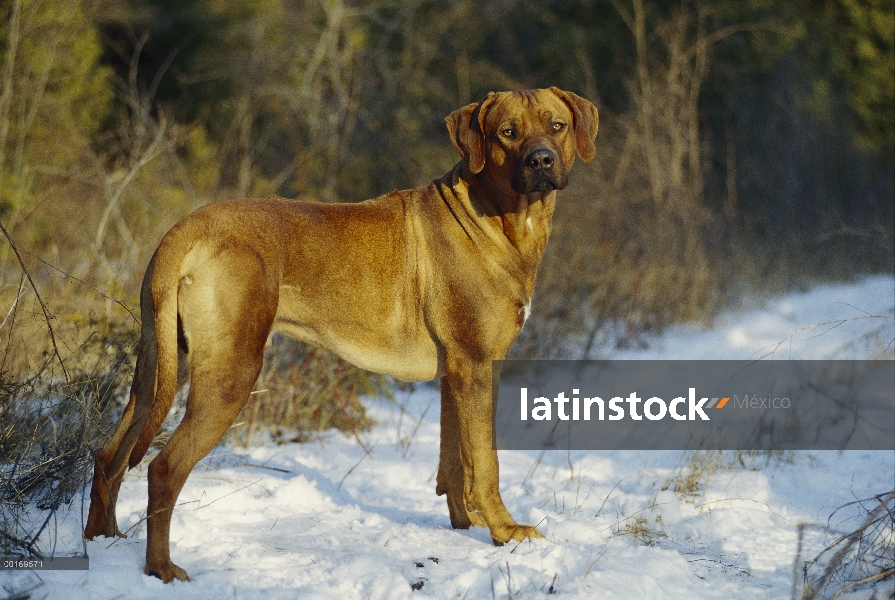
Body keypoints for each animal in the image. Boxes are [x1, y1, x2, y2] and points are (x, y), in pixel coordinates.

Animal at [87, 88, 600, 580]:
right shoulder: (476, 366)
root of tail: (187, 226)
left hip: (155, 368)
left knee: (110, 455)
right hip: (230, 372)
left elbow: (455, 461)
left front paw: (465, 523)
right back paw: (161, 568)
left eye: (557, 126)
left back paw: (102, 542)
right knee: (163, 467)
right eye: (507, 133)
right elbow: (486, 461)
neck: (500, 214)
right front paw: (505, 531)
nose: (541, 161)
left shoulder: (456, 373)